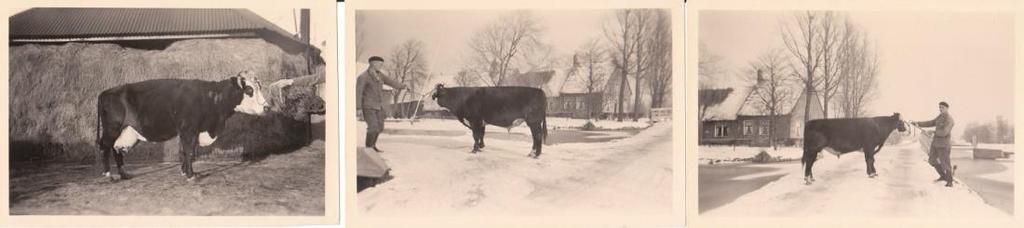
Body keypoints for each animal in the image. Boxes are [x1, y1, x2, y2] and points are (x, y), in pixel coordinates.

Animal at [96, 70, 270, 180]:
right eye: (249, 90)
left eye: (259, 87)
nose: (267, 107)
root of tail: (106, 92)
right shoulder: (188, 129)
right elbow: (189, 151)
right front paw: (191, 175)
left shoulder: (192, 131)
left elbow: (187, 152)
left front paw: (184, 172)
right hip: (112, 128)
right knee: (105, 147)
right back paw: (109, 175)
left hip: (124, 131)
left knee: (116, 149)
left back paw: (124, 174)